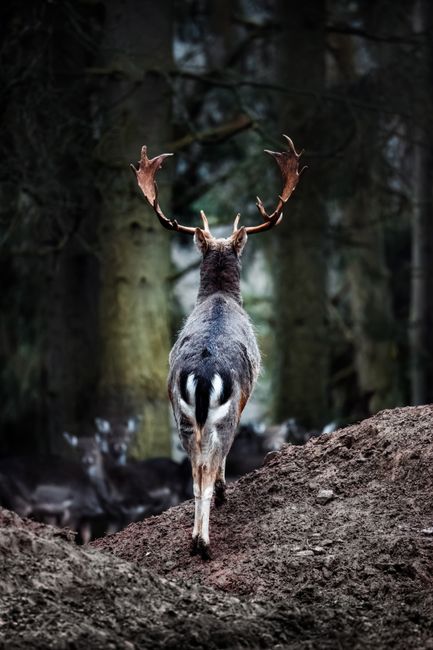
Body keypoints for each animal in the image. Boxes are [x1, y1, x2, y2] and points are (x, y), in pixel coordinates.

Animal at [131, 135, 304, 560]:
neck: (220, 298)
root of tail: (205, 375)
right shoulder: (245, 397)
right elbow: (222, 460)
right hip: (223, 415)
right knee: (208, 466)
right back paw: (203, 541)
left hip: (181, 414)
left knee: (193, 469)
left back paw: (196, 538)